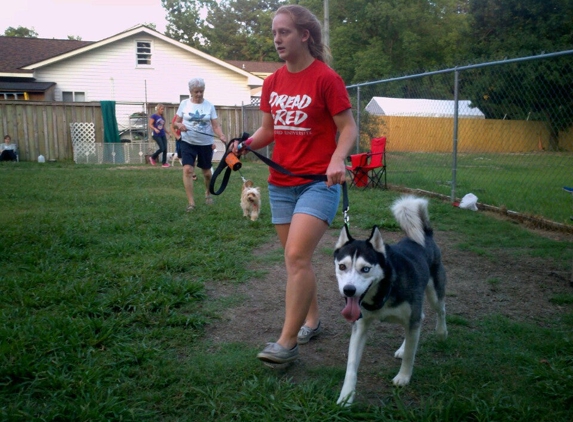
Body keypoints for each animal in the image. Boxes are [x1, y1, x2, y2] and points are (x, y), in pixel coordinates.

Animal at [336, 195, 446, 406]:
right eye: (342, 266)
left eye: (365, 269)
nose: (349, 290)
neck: (383, 290)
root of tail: (426, 234)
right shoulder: (360, 325)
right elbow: (351, 364)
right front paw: (346, 395)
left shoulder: (411, 316)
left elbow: (411, 354)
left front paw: (403, 377)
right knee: (421, 318)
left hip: (434, 294)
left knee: (439, 310)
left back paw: (442, 332)